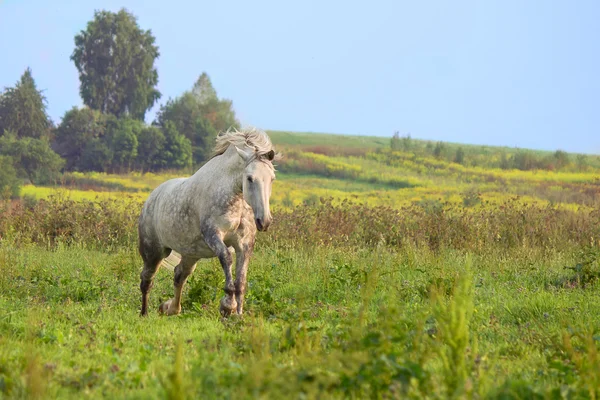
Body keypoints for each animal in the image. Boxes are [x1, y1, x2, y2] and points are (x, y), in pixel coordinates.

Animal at [137, 128, 278, 318]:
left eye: (272, 178)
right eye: (249, 178)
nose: (264, 221)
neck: (235, 199)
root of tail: (152, 198)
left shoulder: (244, 244)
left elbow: (241, 282)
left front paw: (238, 315)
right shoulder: (213, 235)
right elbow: (226, 259)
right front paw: (227, 306)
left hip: (191, 253)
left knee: (179, 275)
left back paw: (170, 308)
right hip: (154, 251)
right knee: (147, 279)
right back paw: (144, 314)